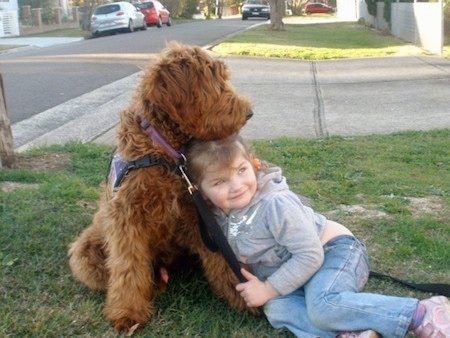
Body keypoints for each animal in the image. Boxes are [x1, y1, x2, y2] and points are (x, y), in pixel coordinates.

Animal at [67, 41, 256, 332]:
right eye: (215, 82)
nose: (249, 113)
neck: (163, 152)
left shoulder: (195, 213)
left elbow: (221, 257)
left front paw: (243, 291)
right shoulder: (127, 219)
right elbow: (128, 267)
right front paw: (128, 312)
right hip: (84, 251)